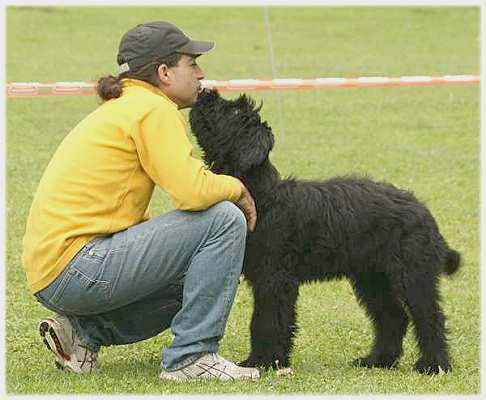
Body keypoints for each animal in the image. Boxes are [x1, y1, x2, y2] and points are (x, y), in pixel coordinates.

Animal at [188, 88, 462, 376]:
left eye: (235, 111)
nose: (206, 91)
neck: (263, 196)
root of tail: (424, 211)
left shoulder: (274, 279)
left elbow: (266, 321)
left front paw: (263, 361)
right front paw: (271, 360)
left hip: (412, 275)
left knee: (429, 317)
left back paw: (434, 364)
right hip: (373, 277)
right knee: (393, 317)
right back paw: (378, 360)